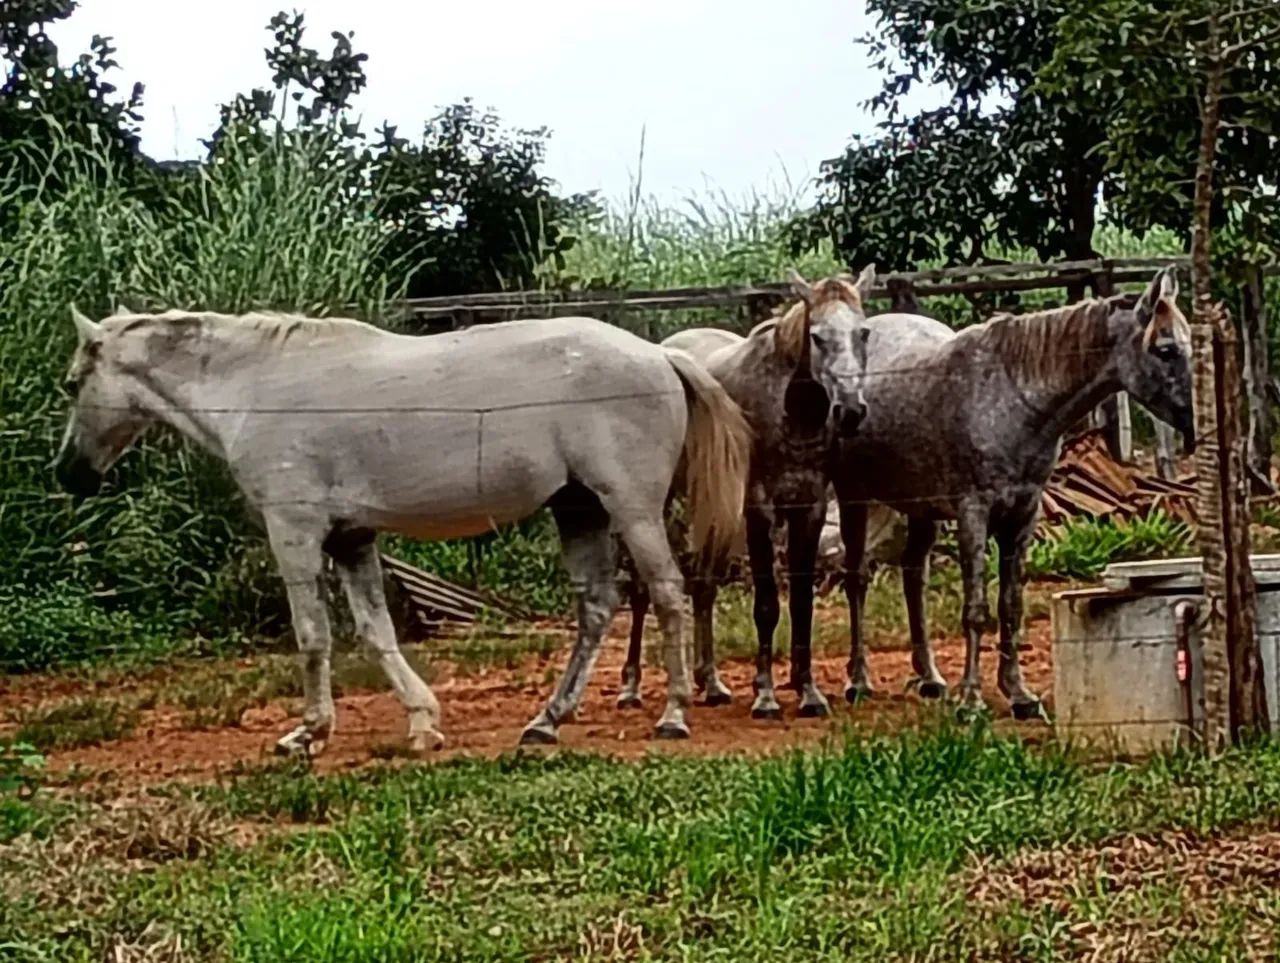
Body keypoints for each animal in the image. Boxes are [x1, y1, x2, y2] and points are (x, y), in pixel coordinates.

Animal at [53, 308, 751, 754]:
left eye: (72, 382)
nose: (69, 474)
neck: (255, 387)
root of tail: (660, 354)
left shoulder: (296, 532)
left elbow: (313, 635)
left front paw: (307, 733)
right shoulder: (352, 539)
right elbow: (377, 633)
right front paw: (422, 724)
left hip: (630, 509)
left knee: (667, 595)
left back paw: (673, 712)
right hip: (579, 510)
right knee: (598, 609)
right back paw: (548, 720)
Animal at [613, 268, 875, 720]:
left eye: (863, 332)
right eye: (817, 336)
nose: (850, 411)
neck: (792, 411)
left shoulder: (809, 507)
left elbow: (801, 602)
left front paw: (808, 692)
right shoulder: (760, 509)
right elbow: (767, 604)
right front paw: (766, 695)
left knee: (703, 584)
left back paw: (711, 683)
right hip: (658, 504)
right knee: (642, 588)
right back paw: (631, 687)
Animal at [834, 267, 1194, 717]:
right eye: (1165, 349)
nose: (1191, 422)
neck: (1013, 398)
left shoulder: (1024, 513)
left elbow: (1011, 604)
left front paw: (1018, 694)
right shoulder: (974, 512)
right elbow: (975, 610)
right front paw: (972, 700)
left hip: (921, 509)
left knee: (913, 576)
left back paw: (930, 678)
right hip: (853, 497)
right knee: (857, 579)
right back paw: (858, 681)